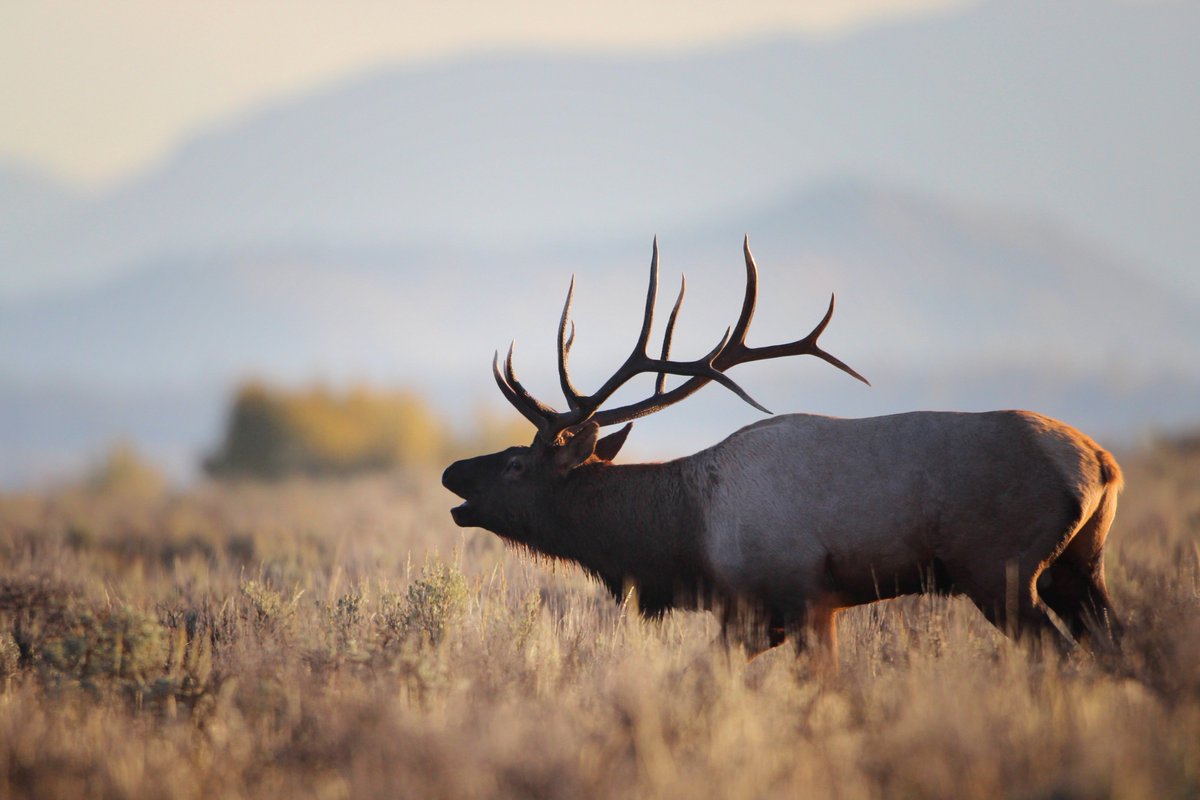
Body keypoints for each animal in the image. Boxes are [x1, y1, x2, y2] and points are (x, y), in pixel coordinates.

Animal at [442, 238, 1124, 659]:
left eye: (516, 464)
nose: (452, 473)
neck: (684, 537)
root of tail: (1102, 464)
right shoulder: (755, 618)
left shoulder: (797, 598)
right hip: (1077, 568)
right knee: (1119, 647)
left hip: (1000, 570)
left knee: (1062, 656)